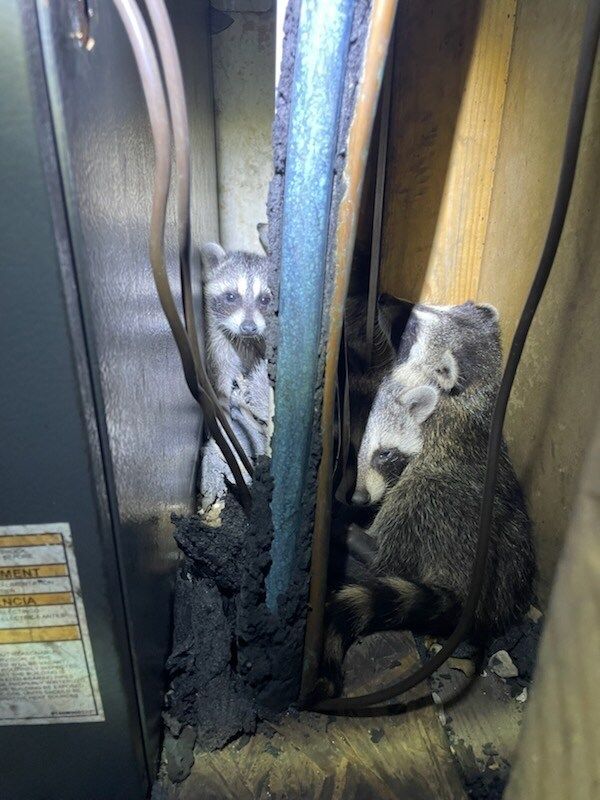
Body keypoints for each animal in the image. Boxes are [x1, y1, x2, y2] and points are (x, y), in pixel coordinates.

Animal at [318, 302, 536, 699]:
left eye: (385, 454)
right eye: (421, 310)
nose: (385, 300)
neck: (471, 394)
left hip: (438, 502)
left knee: (410, 506)